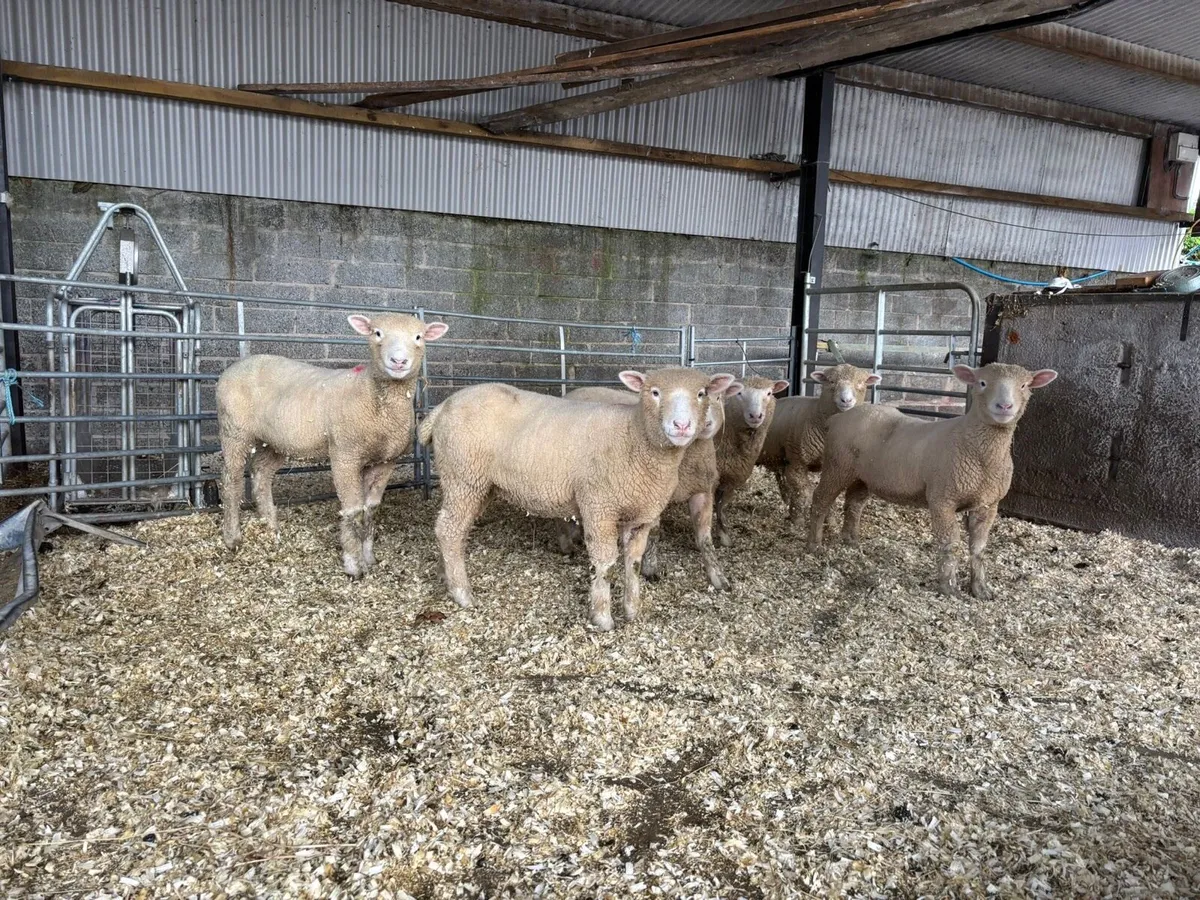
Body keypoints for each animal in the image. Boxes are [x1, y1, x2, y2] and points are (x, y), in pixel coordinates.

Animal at [216, 313, 448, 577]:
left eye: (418, 337)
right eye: (377, 333)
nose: (398, 361)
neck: (372, 395)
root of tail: (236, 366)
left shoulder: (385, 461)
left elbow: (370, 509)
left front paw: (369, 557)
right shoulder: (345, 455)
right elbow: (353, 510)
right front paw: (354, 564)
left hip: (275, 441)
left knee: (261, 474)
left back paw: (271, 527)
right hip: (234, 429)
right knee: (231, 480)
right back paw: (232, 537)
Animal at [554, 377, 744, 590]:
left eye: (718, 397)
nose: (704, 424)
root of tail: (572, 392)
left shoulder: (702, 490)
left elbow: (705, 539)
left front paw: (718, 576)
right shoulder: (653, 494)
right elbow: (654, 533)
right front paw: (650, 568)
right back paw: (566, 544)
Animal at [711, 375, 789, 547]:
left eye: (769, 393)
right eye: (740, 393)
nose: (755, 416)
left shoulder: (732, 478)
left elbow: (721, 506)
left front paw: (724, 534)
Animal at [757, 364, 881, 524]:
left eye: (860, 383)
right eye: (831, 381)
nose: (846, 400)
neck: (815, 414)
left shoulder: (832, 465)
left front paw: (831, 521)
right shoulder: (796, 460)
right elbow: (802, 493)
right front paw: (797, 522)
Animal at [806, 363, 1058, 599]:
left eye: (1024, 385)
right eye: (982, 383)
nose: (1004, 407)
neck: (973, 447)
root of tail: (839, 417)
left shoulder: (988, 504)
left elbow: (978, 548)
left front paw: (981, 589)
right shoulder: (942, 500)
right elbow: (950, 545)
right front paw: (949, 588)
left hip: (864, 476)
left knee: (854, 503)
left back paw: (851, 541)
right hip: (837, 465)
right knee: (820, 500)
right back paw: (814, 545)